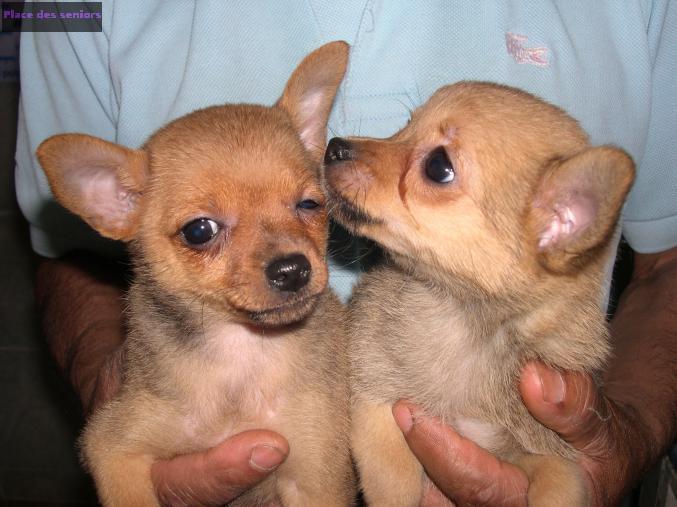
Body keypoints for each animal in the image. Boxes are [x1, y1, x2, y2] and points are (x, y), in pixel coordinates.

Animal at [37, 41, 354, 506]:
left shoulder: (316, 472)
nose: (293, 269)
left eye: (311, 204)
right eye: (199, 231)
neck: (241, 359)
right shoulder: (114, 445)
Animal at [322, 81, 632, 506]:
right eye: (406, 126)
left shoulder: (538, 451)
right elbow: (394, 482)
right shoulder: (374, 395)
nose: (333, 146)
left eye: (438, 167)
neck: (465, 322)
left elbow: (560, 483)